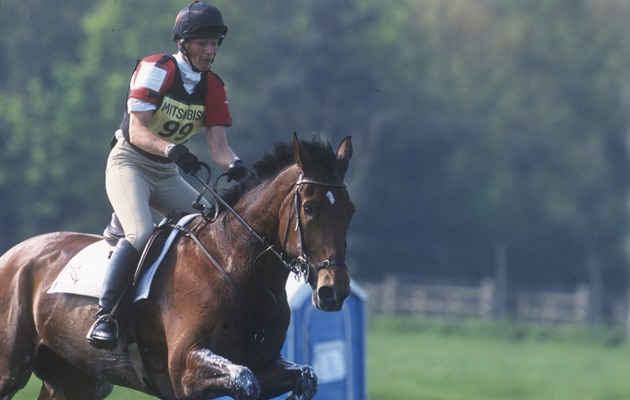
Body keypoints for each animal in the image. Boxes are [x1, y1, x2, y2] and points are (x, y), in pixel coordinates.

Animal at [0, 134, 356, 400]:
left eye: (350, 210)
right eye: (309, 208)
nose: (333, 291)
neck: (235, 264)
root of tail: (13, 255)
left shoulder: (266, 365)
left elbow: (306, 377)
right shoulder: (185, 372)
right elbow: (245, 380)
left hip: (75, 378)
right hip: (11, 370)